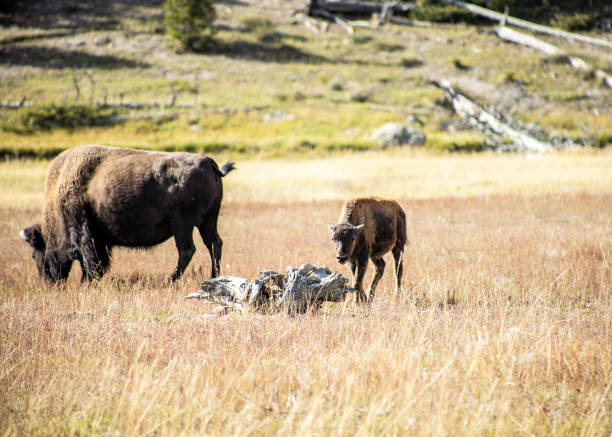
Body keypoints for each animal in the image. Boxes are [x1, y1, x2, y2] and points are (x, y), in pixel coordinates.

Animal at [19, 145, 234, 284]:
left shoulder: (84, 231)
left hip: (183, 225)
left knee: (187, 250)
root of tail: (208, 162)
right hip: (207, 221)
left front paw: (88, 282)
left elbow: (89, 259)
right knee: (214, 244)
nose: (48, 283)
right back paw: (214, 277)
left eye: (34, 255)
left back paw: (170, 281)